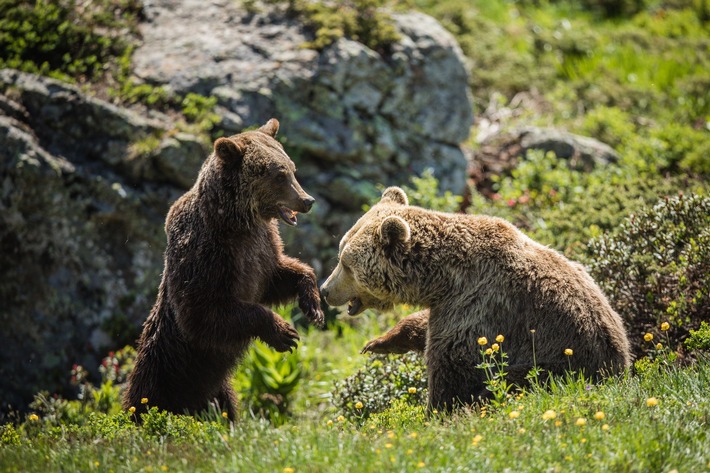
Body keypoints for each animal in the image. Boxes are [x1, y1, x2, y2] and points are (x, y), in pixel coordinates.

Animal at [124, 120, 324, 418]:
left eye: (292, 168)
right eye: (279, 175)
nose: (307, 200)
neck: (237, 222)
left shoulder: (261, 249)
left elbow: (278, 276)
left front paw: (313, 306)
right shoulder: (208, 256)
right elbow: (203, 312)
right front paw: (285, 333)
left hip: (218, 390)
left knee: (224, 407)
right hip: (164, 371)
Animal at [320, 186, 632, 412]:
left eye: (345, 263)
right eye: (340, 252)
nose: (324, 290)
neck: (443, 277)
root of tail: (621, 370)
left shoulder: (478, 307)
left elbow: (453, 371)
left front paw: (437, 412)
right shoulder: (446, 304)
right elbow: (423, 327)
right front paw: (379, 342)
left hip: (558, 368)